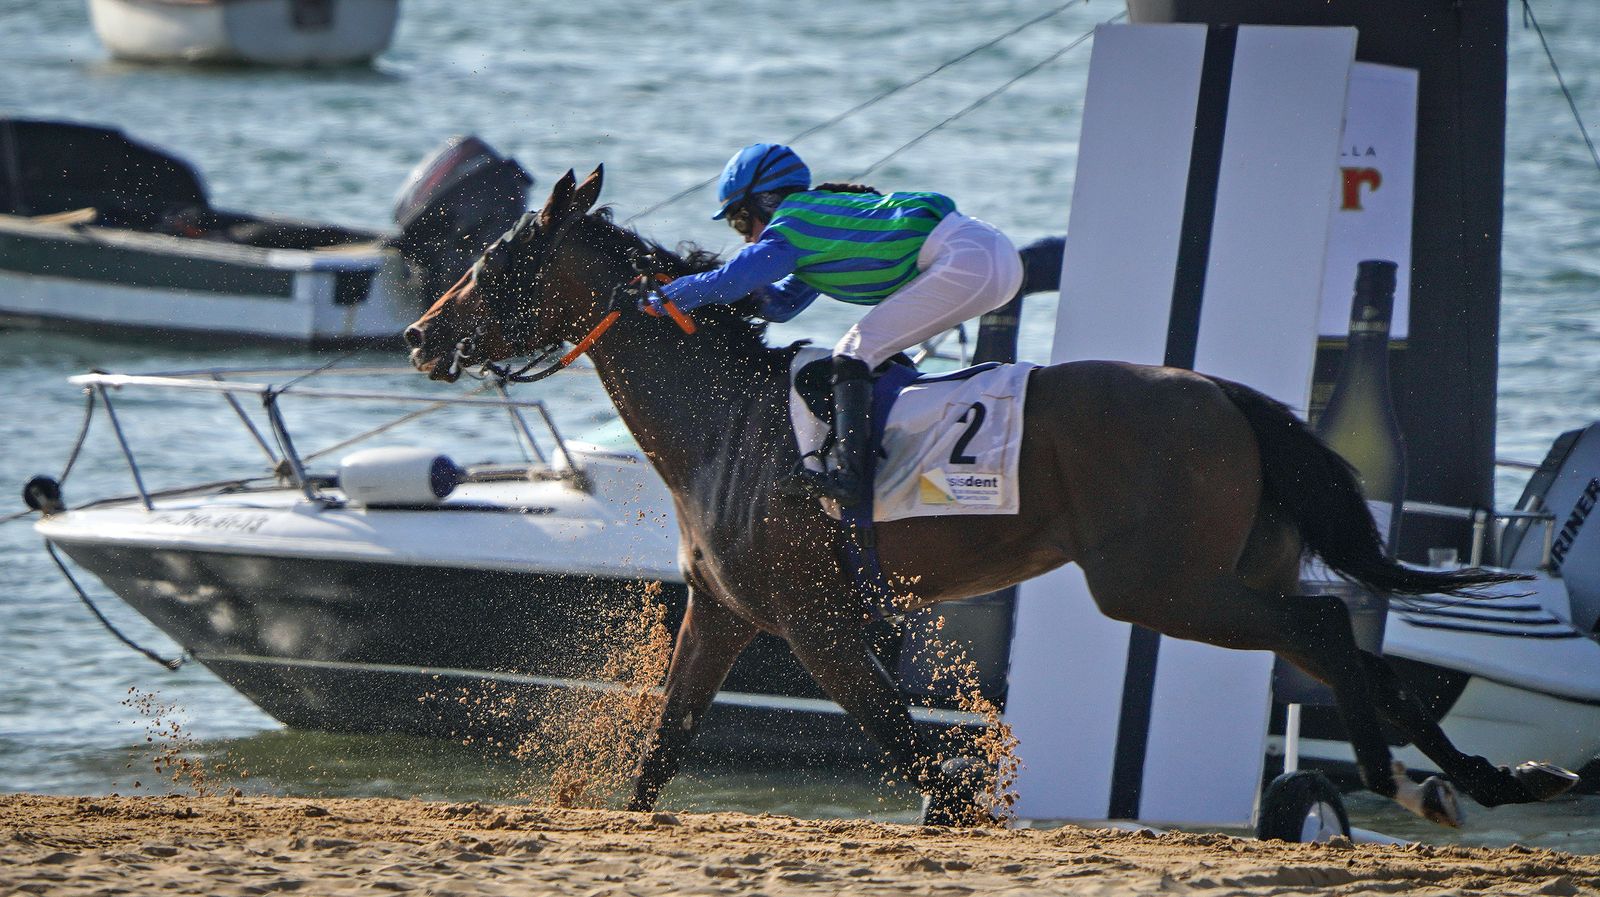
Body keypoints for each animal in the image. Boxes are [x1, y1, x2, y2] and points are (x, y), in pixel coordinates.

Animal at [404, 166, 1577, 826]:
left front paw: (958, 791)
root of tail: (1228, 397)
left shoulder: (814, 621)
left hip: (1157, 584)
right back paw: (1485, 779)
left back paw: (1405, 779)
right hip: (1225, 571)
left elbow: (900, 734)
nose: (418, 335)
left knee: (1330, 628)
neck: (723, 426)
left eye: (499, 261)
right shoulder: (724, 615)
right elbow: (662, 750)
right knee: (1351, 641)